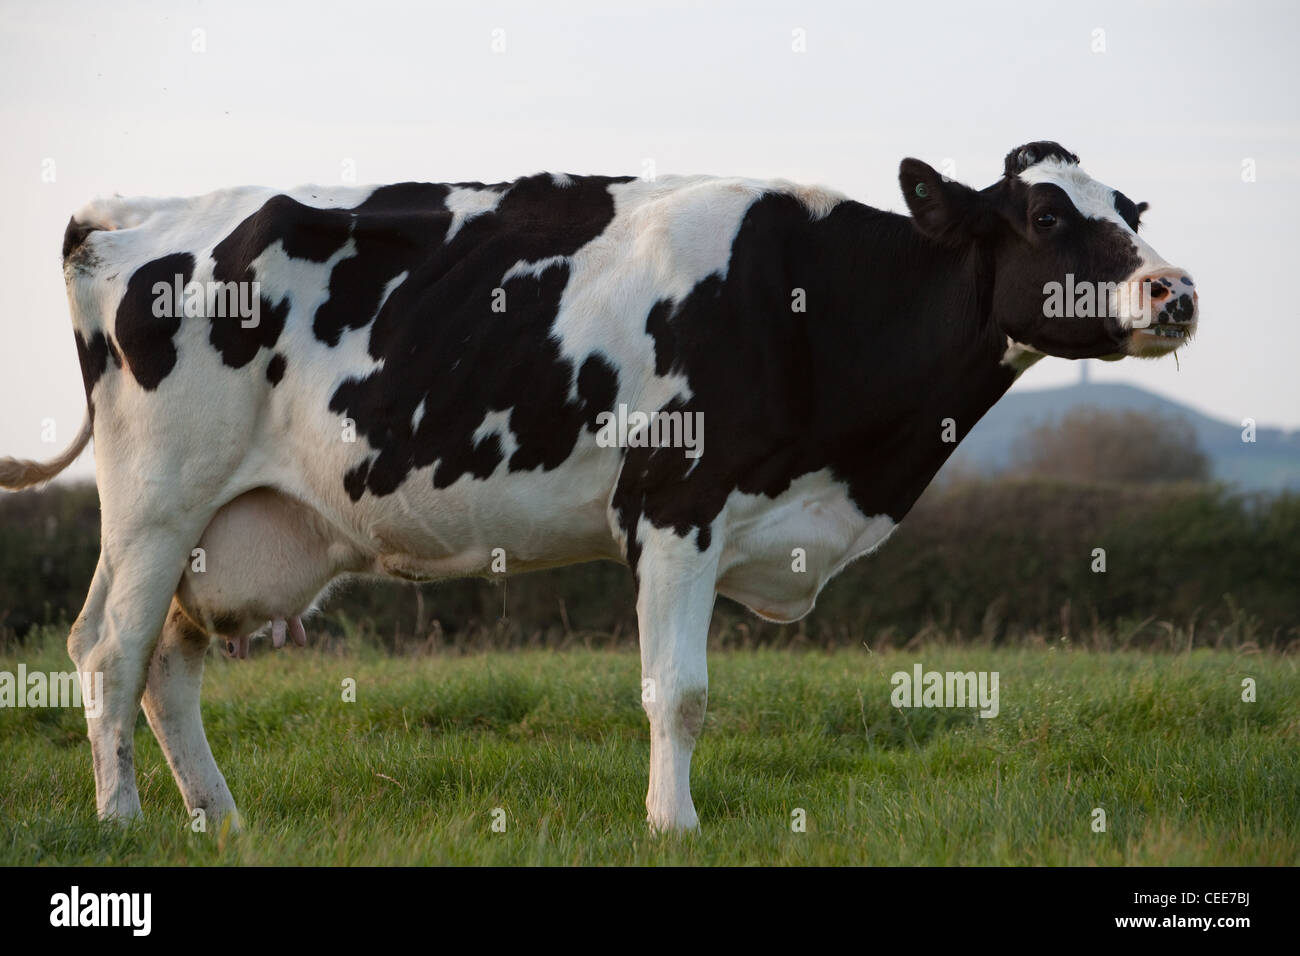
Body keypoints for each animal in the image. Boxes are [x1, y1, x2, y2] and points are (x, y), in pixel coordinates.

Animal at [0, 140, 1196, 832]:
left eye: (1133, 207)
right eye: (1047, 218)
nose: (1174, 289)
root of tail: (136, 214)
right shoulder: (674, 509)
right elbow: (680, 691)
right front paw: (675, 828)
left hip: (226, 525)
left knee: (169, 661)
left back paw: (222, 819)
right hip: (158, 496)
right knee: (108, 649)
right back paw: (120, 820)